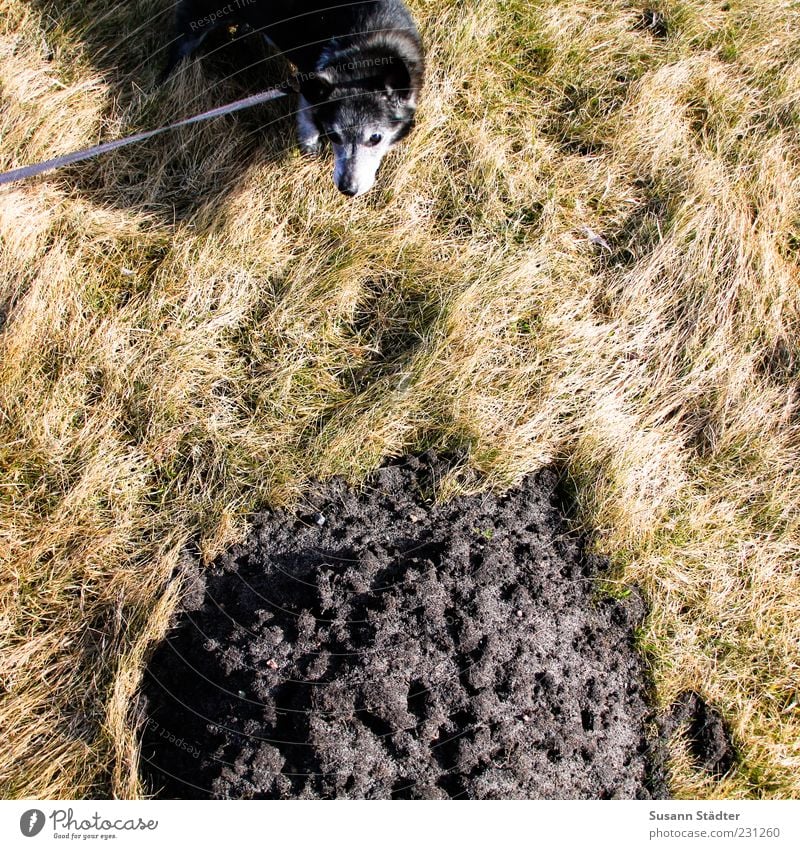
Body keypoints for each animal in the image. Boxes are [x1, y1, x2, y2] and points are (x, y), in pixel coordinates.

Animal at [164, 0, 424, 195]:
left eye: (375, 138)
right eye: (333, 135)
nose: (347, 190)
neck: (367, 56)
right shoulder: (310, 82)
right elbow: (307, 119)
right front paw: (309, 147)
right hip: (198, 20)